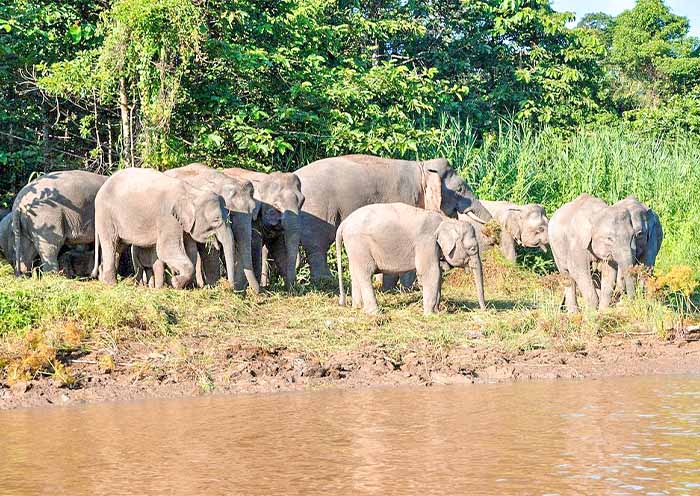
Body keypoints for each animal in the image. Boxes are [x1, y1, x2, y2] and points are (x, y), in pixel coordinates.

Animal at [92, 168, 236, 289]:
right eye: (216, 219)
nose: (229, 288)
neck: (191, 192)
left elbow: (190, 250)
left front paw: (183, 285)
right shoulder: (168, 218)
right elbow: (166, 250)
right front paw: (175, 282)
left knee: (118, 247)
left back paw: (105, 280)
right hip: (106, 216)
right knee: (110, 243)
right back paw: (111, 284)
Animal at [165, 163, 259, 292]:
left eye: (252, 213)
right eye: (231, 214)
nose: (258, 292)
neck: (225, 181)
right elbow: (209, 248)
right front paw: (213, 286)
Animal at [295, 154, 493, 283]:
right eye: (459, 189)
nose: (491, 231)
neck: (423, 167)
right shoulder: (405, 196)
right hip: (319, 208)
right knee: (318, 245)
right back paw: (326, 281)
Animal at [335, 203, 486, 315]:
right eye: (472, 248)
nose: (484, 309)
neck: (446, 220)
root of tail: (344, 224)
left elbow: (438, 274)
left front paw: (438, 311)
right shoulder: (426, 242)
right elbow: (431, 272)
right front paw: (430, 315)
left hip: (354, 248)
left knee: (355, 272)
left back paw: (357, 307)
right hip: (360, 244)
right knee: (366, 273)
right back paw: (374, 312)